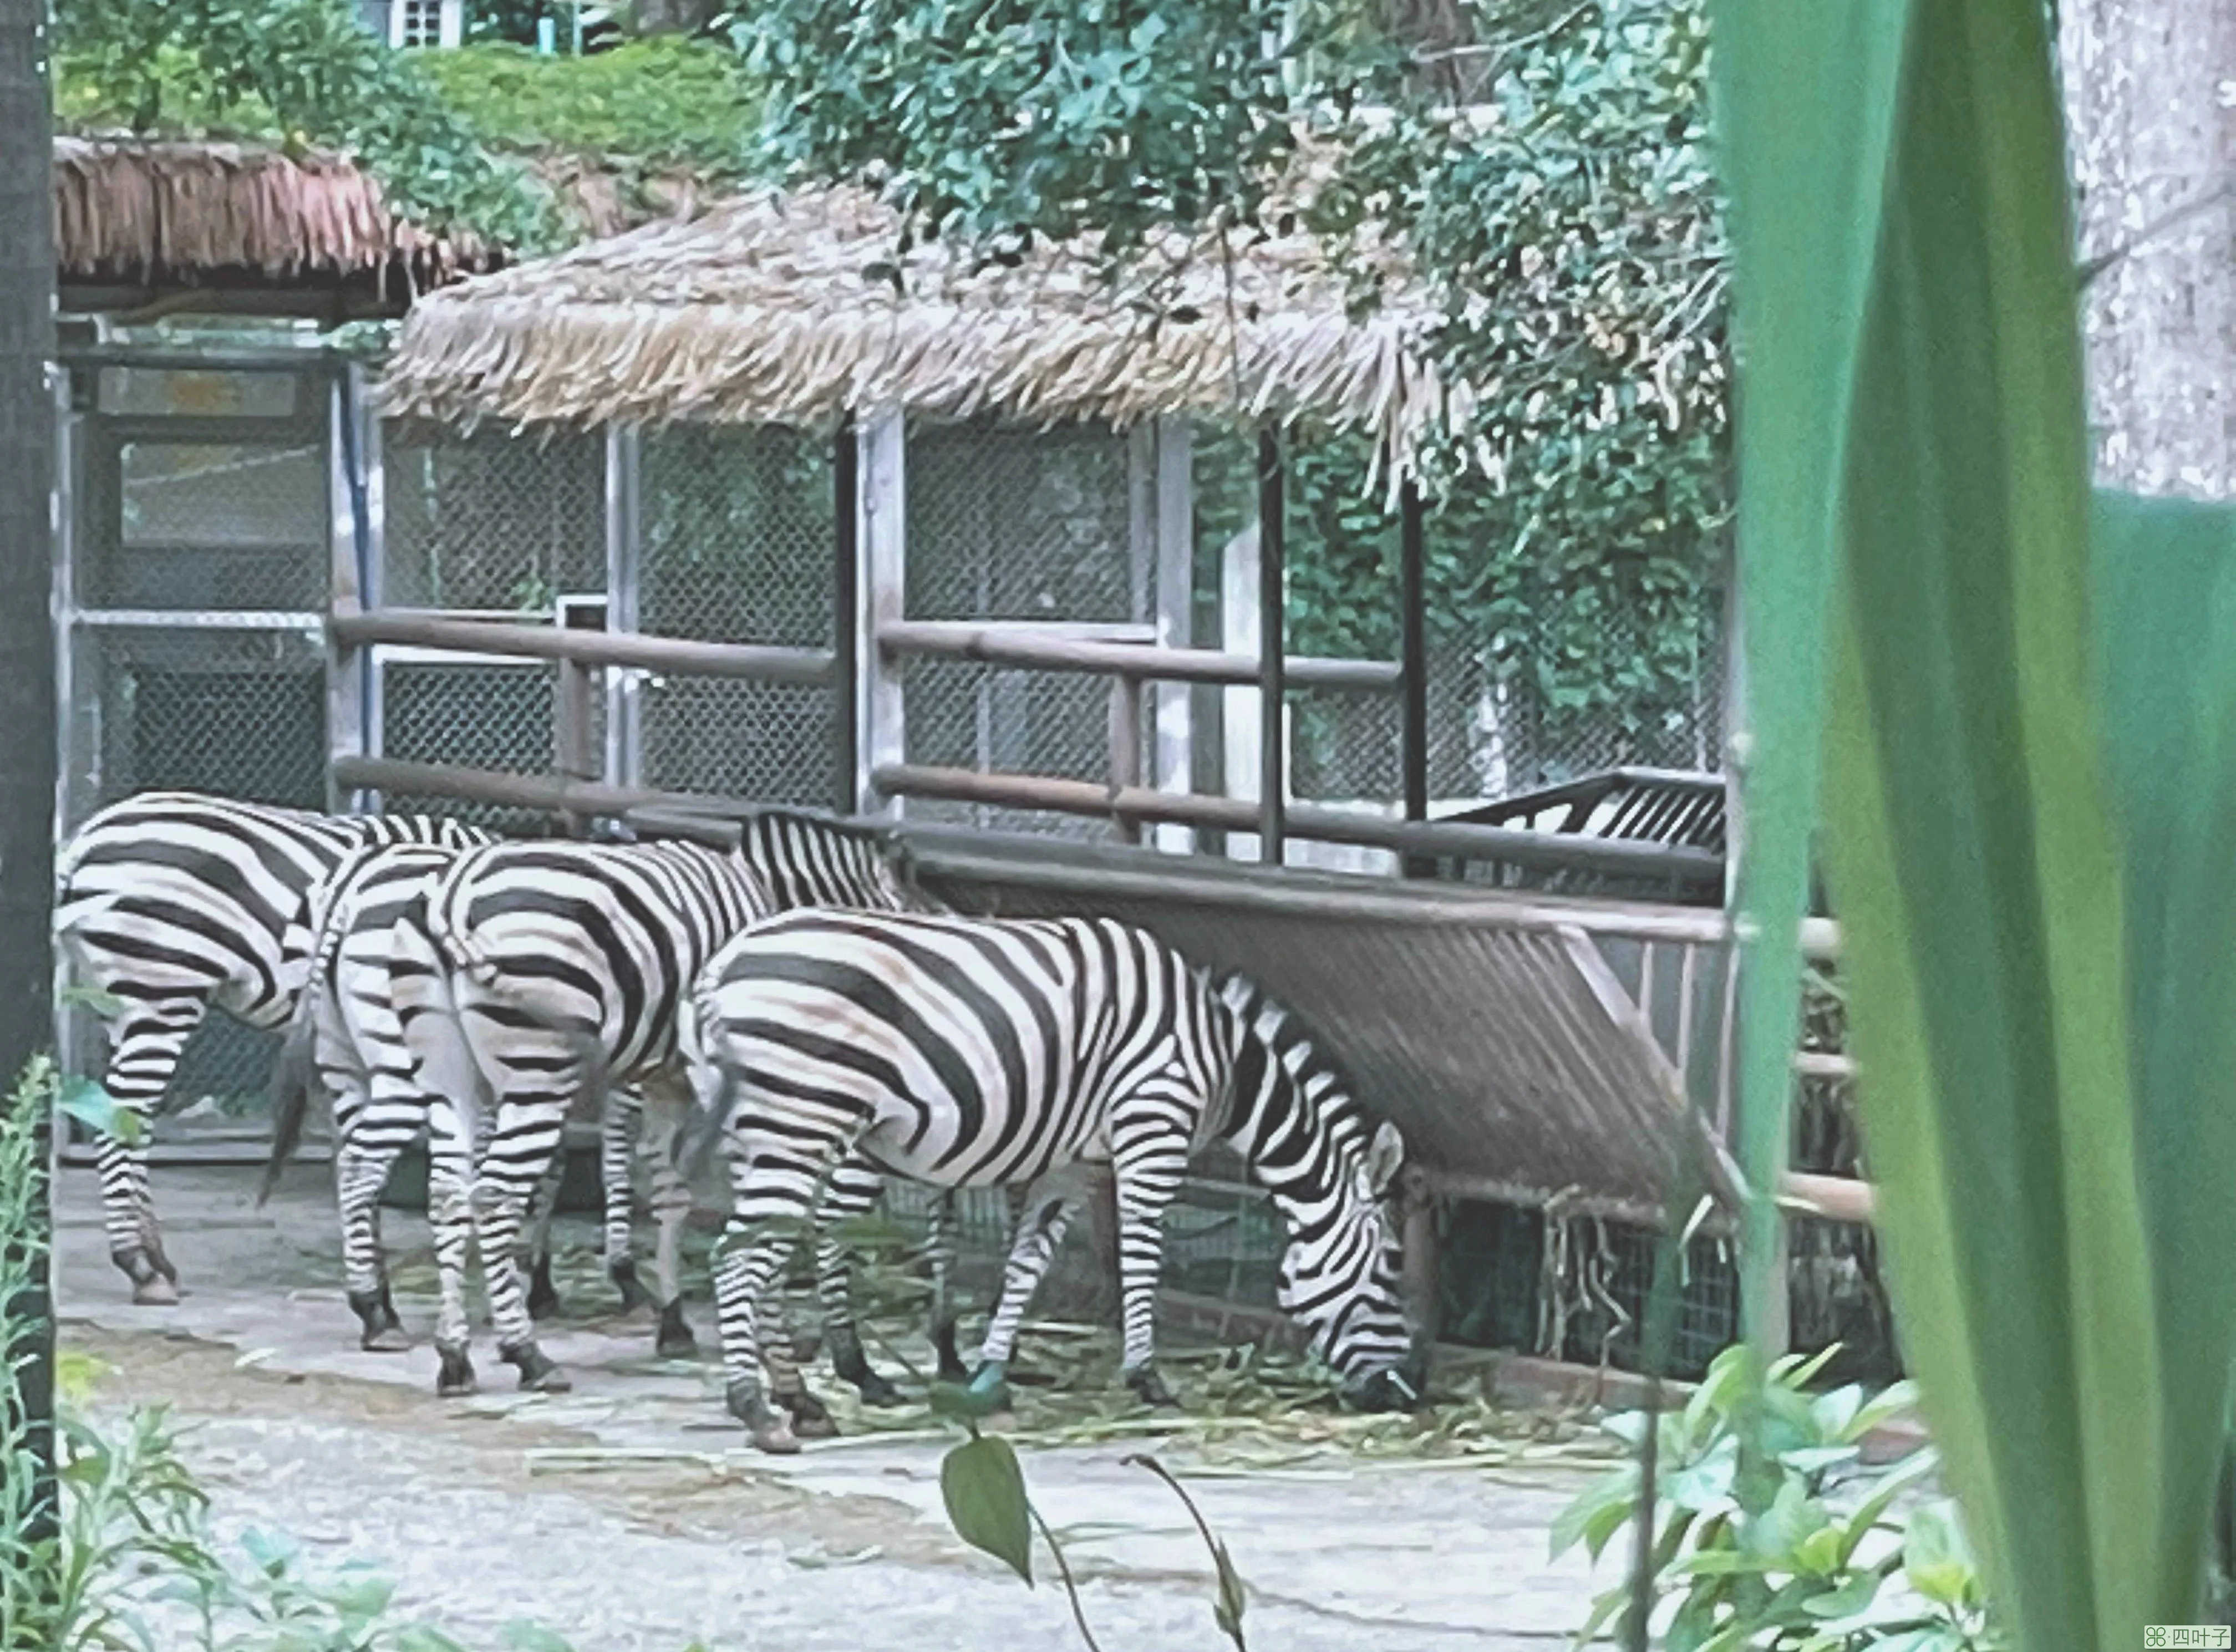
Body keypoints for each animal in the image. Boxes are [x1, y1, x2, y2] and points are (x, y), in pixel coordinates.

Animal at [51, 791, 494, 1305]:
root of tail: (85, 840)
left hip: (119, 1004)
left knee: (129, 1118)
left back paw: (157, 1258)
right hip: (161, 992)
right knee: (119, 1118)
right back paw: (141, 1267)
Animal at [393, 809, 934, 1404]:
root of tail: (454, 894)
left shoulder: (666, 1079)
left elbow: (671, 1193)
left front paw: (674, 1320)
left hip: (449, 1075)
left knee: (448, 1191)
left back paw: (455, 1355)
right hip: (538, 1069)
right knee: (495, 1194)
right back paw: (527, 1352)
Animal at [670, 912, 1422, 1457]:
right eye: (1388, 1268)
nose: (1406, 1392)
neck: (1226, 1061)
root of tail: (720, 968)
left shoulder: (1073, 1161)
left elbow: (1028, 1264)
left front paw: (989, 1378)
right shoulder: (1153, 1125)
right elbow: (1142, 1257)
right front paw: (1148, 1379)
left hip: (760, 1133)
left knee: (765, 1258)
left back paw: (803, 1400)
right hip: (802, 1119)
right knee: (740, 1259)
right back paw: (757, 1410)